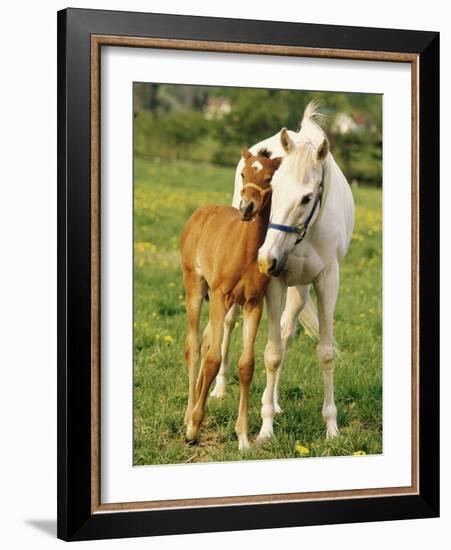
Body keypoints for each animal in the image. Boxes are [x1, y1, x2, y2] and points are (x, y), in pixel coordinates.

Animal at [181, 149, 282, 450]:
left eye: (269, 177)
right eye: (243, 173)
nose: (247, 207)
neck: (245, 251)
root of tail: (200, 213)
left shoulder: (253, 303)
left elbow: (246, 365)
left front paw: (244, 438)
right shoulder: (220, 296)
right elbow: (214, 359)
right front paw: (194, 428)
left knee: (205, 340)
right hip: (195, 286)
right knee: (194, 345)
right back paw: (188, 414)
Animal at [210, 100, 354, 444]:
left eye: (307, 197)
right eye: (273, 189)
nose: (266, 259)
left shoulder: (327, 281)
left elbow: (324, 352)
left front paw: (331, 428)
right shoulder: (273, 282)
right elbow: (272, 354)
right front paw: (264, 431)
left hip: (299, 289)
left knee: (287, 331)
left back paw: (274, 403)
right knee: (231, 322)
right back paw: (221, 388)